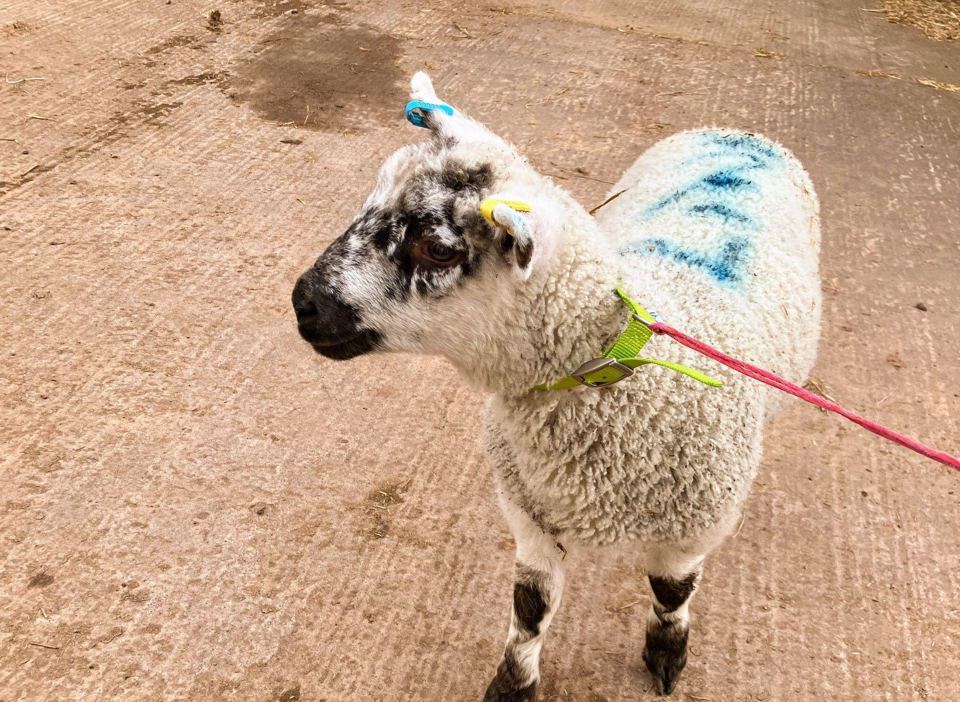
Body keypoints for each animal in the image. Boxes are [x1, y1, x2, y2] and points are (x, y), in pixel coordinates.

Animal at [291, 72, 821, 699]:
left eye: (439, 248)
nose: (303, 303)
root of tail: (739, 131)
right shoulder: (531, 516)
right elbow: (531, 609)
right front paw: (513, 683)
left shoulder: (693, 530)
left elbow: (671, 594)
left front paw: (667, 652)